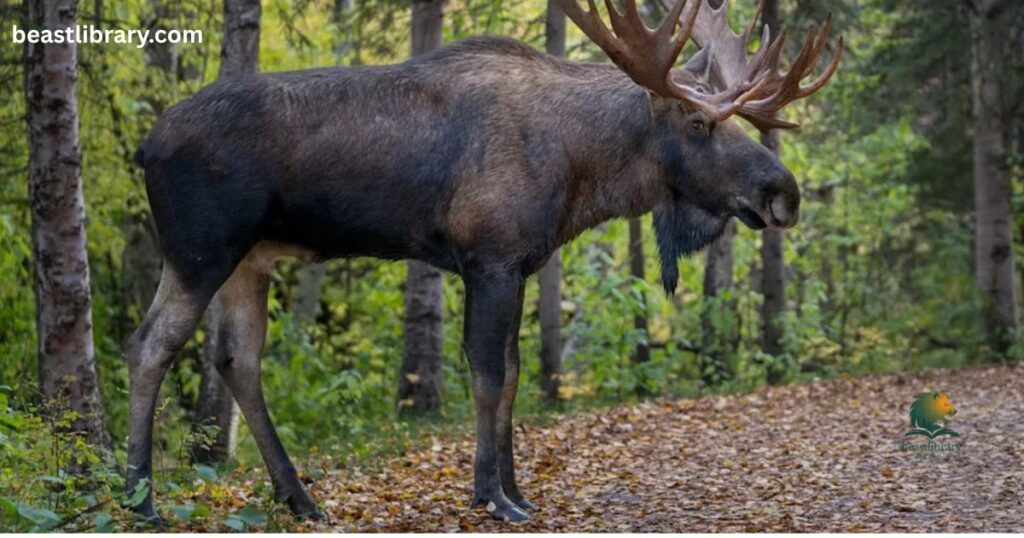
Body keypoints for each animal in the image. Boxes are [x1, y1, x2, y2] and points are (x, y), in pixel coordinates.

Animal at [126, 0, 841, 523]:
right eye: (698, 124)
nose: (785, 192)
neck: (581, 172)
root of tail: (144, 146)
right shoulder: (488, 256)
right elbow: (489, 375)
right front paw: (491, 496)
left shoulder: (521, 264)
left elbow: (517, 376)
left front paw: (516, 489)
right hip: (200, 249)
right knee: (150, 344)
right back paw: (142, 500)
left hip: (252, 259)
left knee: (236, 360)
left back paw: (299, 497)